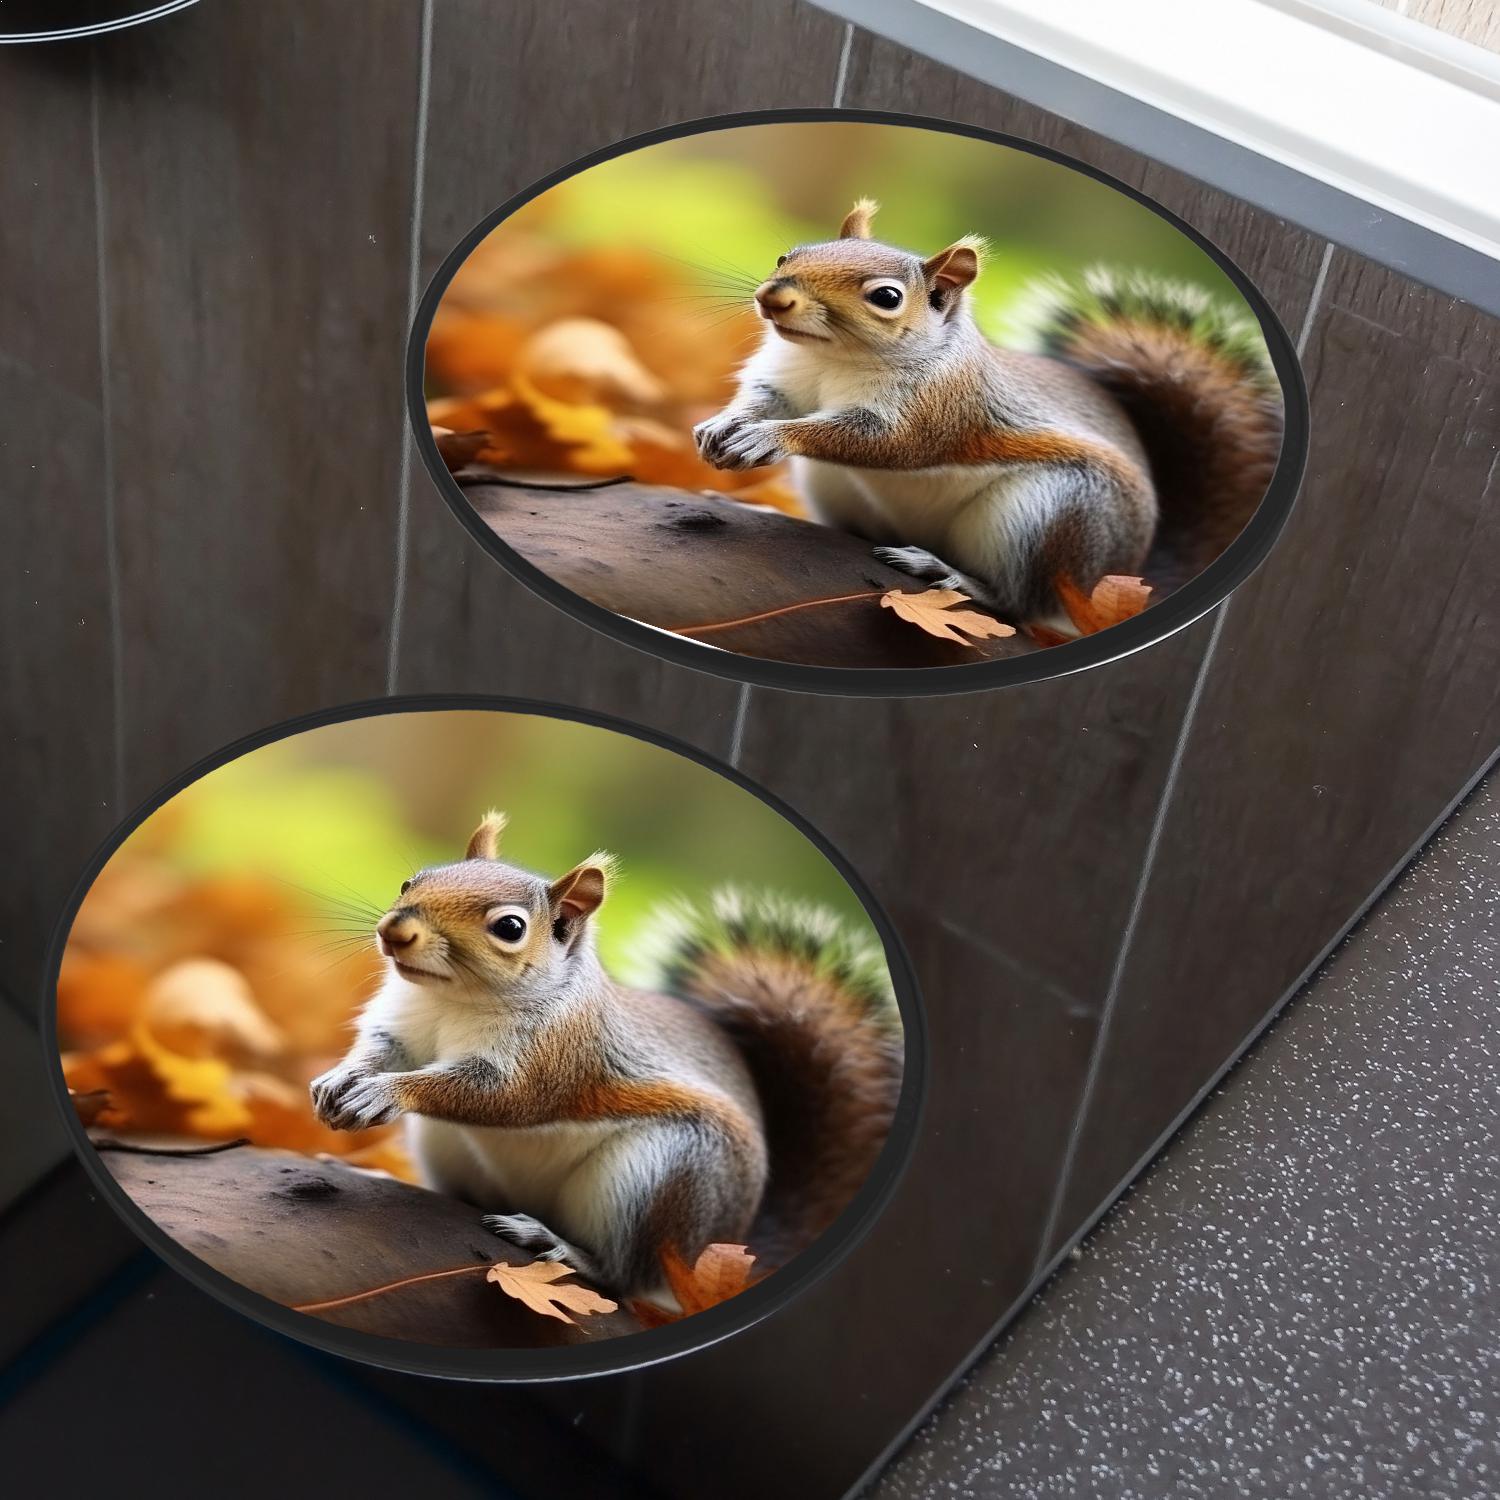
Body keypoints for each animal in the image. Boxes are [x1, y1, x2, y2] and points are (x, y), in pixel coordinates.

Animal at [310, 811, 903, 1306]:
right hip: (444, 1147)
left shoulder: (554, 1055)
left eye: (509, 927)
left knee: (626, 1274)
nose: (395, 930)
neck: (453, 1001)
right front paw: (340, 1077)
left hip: (659, 1177)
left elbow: (499, 1096)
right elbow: (383, 1049)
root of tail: (721, 1248)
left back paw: (560, 1245)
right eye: (411, 881)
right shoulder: (403, 1024)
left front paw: (386, 1091)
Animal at [693, 198, 1284, 625]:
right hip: (832, 487)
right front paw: (724, 424)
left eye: (886, 297)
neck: (833, 358)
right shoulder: (785, 375)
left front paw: (771, 438)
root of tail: (1117, 577)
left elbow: (881, 442)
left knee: (1021, 601)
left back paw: (953, 575)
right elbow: (767, 400)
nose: (774, 297)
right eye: (787, 255)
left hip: (1046, 516)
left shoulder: (936, 407)